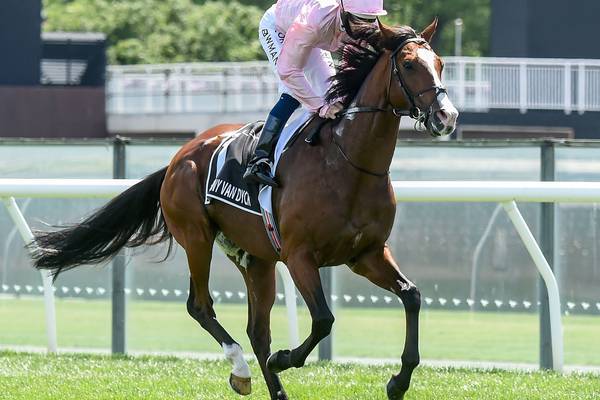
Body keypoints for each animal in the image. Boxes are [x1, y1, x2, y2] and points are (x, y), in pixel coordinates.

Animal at [32, 20, 460, 400]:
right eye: (409, 65)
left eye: (440, 63)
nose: (447, 116)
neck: (347, 163)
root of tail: (179, 157)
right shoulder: (299, 256)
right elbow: (323, 319)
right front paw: (286, 358)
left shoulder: (366, 253)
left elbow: (412, 296)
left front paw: (398, 381)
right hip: (198, 237)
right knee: (201, 306)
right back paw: (242, 369)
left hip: (255, 258)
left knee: (258, 329)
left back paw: (274, 388)